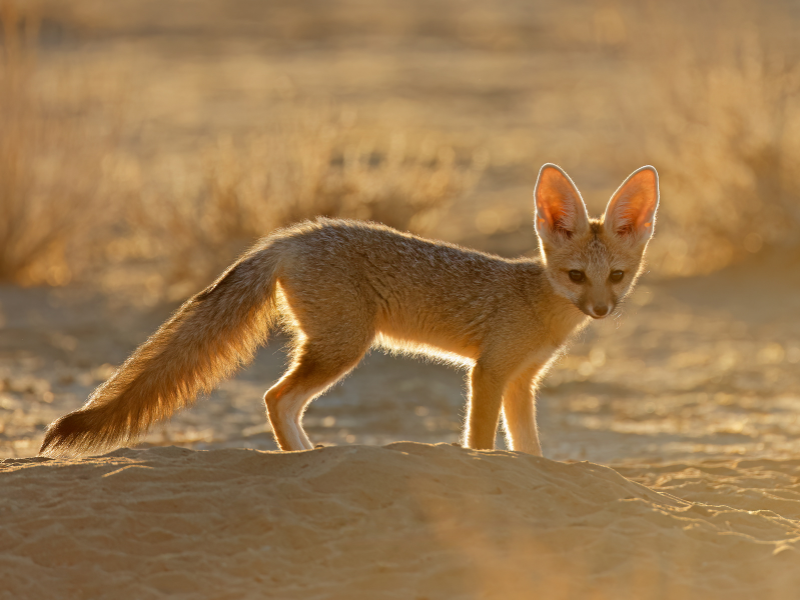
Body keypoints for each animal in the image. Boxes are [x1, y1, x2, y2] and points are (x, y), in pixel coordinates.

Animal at [39, 163, 659, 458]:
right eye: (575, 276)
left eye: (616, 277)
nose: (601, 310)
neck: (537, 300)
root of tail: (293, 234)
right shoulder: (488, 373)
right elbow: (481, 442)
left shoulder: (521, 382)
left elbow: (529, 448)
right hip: (343, 348)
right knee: (275, 397)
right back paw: (302, 457)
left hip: (333, 346)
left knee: (281, 401)